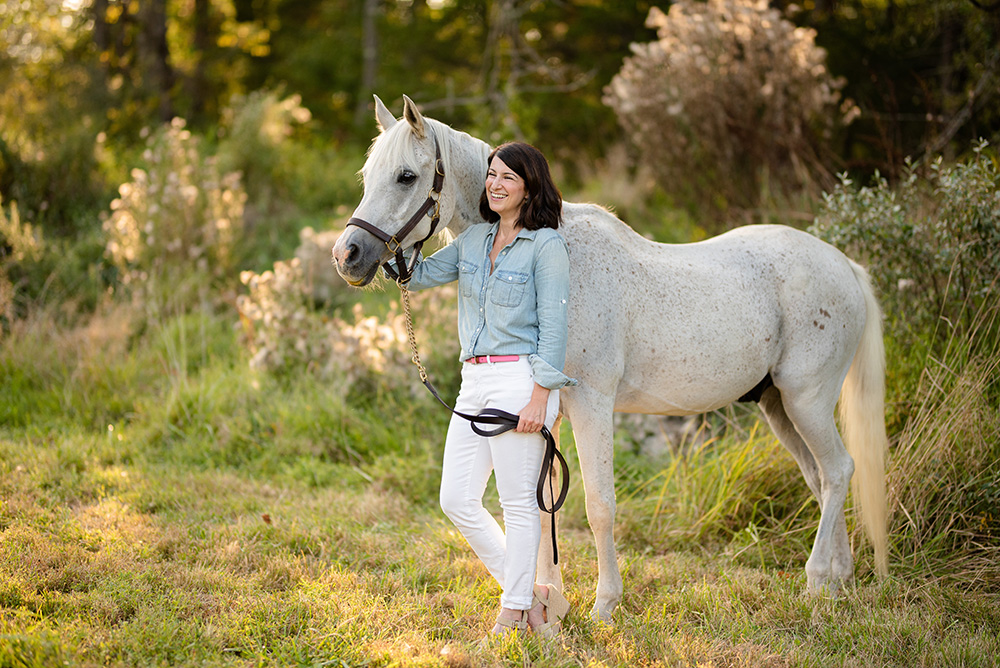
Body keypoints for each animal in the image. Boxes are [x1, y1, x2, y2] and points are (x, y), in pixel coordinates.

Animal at [332, 95, 889, 621]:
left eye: (407, 176)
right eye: (367, 175)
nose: (347, 256)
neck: (556, 251)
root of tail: (845, 265)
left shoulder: (592, 405)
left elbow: (599, 505)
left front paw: (604, 605)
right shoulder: (543, 414)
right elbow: (541, 503)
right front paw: (547, 600)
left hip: (806, 400)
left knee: (838, 471)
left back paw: (817, 581)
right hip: (778, 406)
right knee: (822, 478)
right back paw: (840, 580)